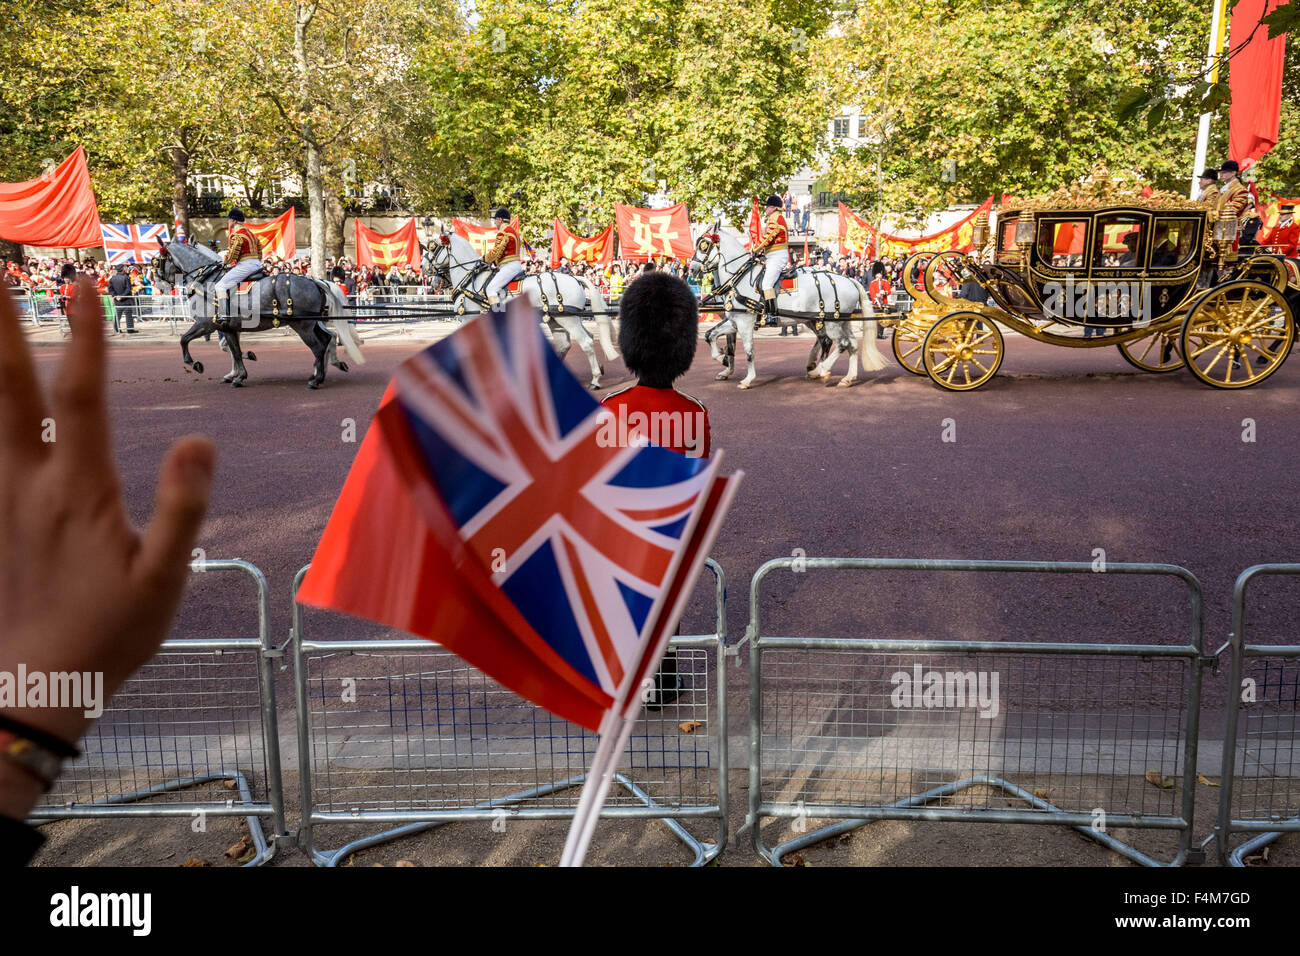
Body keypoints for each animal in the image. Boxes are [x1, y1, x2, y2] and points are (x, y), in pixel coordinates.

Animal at [421, 235, 613, 390]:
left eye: (434, 248)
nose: (424, 268)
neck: (471, 282)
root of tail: (575, 278)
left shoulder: (469, 320)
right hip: (557, 320)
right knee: (564, 345)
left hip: (568, 319)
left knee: (586, 342)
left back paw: (595, 380)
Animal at [691, 225, 894, 390]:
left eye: (704, 245)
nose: (692, 269)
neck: (737, 279)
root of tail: (849, 279)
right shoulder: (734, 321)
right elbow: (711, 336)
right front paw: (723, 359)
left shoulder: (745, 322)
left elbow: (748, 351)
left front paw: (747, 379)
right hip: (836, 322)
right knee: (850, 344)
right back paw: (845, 377)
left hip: (830, 323)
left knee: (840, 344)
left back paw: (821, 369)